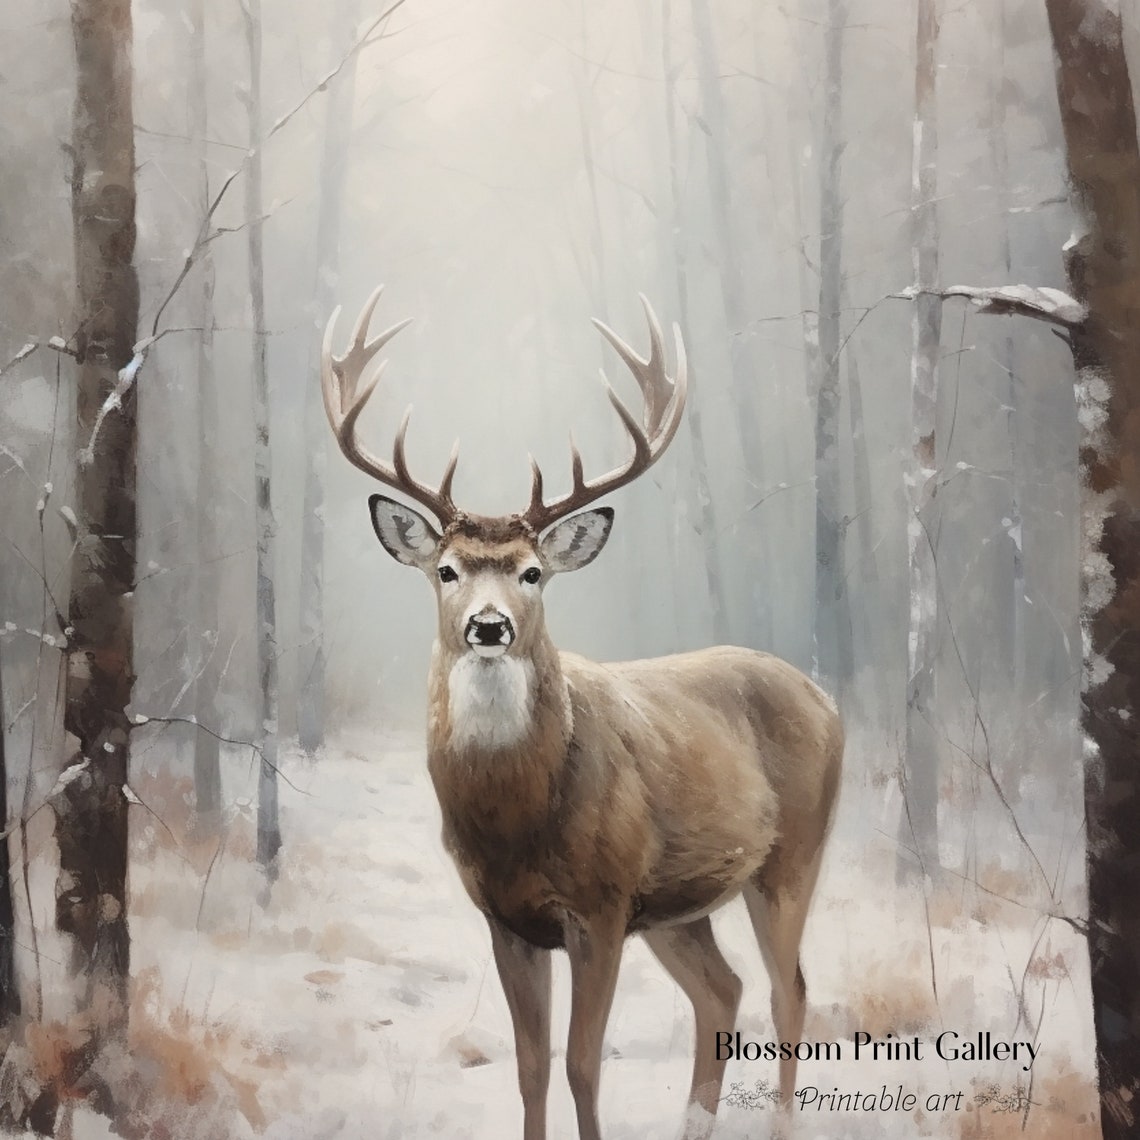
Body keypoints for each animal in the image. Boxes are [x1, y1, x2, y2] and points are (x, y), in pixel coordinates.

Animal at [321, 285, 843, 1140]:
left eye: (533, 573)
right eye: (446, 570)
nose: (488, 626)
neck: (515, 819)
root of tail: (827, 698)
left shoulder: (601, 904)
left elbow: (583, 1065)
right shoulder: (507, 918)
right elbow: (531, 1068)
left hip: (791, 854)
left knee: (789, 991)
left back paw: (782, 1126)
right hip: (677, 905)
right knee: (724, 990)